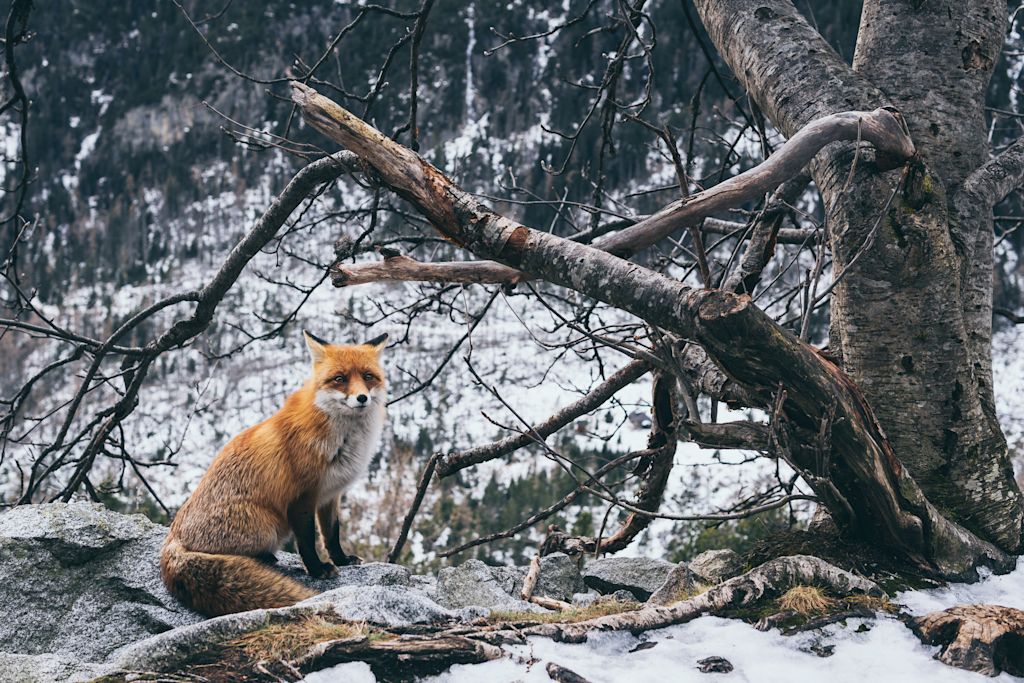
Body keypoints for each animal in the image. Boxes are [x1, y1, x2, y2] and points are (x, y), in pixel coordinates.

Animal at [160, 330, 388, 617]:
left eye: (368, 376)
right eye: (340, 379)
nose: (362, 398)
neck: (343, 439)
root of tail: (173, 539)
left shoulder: (331, 494)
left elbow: (331, 534)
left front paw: (342, 559)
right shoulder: (301, 497)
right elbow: (307, 541)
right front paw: (318, 570)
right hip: (268, 526)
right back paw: (264, 558)